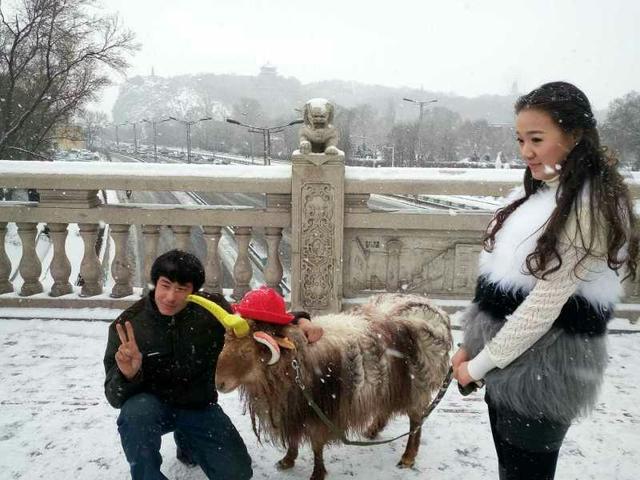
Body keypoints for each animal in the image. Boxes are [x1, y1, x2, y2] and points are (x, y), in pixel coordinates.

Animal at [218, 292, 452, 480]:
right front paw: (287, 460)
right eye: (225, 342)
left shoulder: (320, 410)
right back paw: (372, 431)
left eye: (247, 350)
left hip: (416, 386)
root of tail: (435, 311)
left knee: (416, 420)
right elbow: (293, 438)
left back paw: (408, 457)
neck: (294, 359)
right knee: (387, 408)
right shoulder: (293, 409)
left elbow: (316, 445)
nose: (219, 383)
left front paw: (317, 474)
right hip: (389, 383)